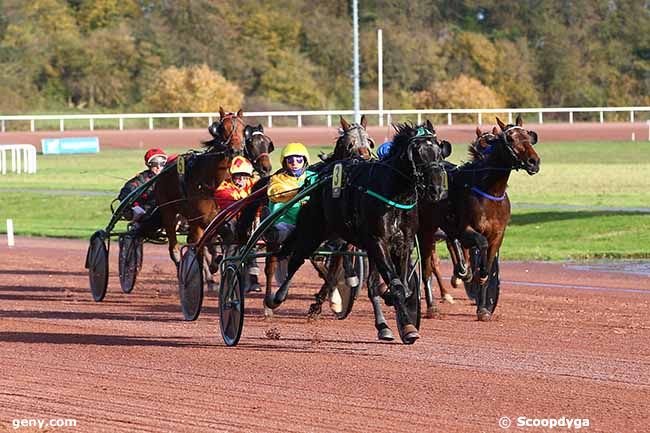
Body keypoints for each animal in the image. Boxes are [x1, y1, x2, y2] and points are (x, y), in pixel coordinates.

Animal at [270, 122, 448, 344]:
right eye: (416, 152)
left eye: (439, 151)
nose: (437, 190)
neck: (395, 195)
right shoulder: (378, 242)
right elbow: (396, 286)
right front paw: (407, 326)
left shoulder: (402, 243)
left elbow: (402, 286)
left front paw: (403, 322)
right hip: (315, 229)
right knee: (297, 259)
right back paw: (277, 297)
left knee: (367, 283)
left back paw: (382, 325)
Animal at [418, 115, 540, 320]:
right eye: (510, 139)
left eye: (529, 137)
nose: (534, 161)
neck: (490, 191)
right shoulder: (466, 230)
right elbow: (479, 245)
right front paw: (469, 276)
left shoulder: (498, 235)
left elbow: (487, 267)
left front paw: (483, 308)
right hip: (426, 230)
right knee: (428, 266)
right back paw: (432, 307)